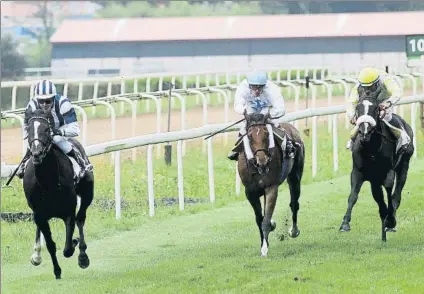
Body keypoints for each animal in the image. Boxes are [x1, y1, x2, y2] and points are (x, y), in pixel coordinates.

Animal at [22, 109, 94, 280]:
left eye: (47, 129)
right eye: (29, 129)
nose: (36, 153)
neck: (48, 184)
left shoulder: (68, 211)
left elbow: (67, 248)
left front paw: (75, 244)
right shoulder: (39, 215)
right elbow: (50, 244)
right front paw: (57, 271)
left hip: (87, 194)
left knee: (81, 218)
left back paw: (83, 255)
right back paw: (36, 255)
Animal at [237, 111, 304, 256]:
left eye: (267, 134)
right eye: (249, 136)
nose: (262, 161)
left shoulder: (271, 187)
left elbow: (266, 220)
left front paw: (264, 249)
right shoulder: (250, 192)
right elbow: (260, 218)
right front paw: (264, 243)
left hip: (295, 177)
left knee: (294, 203)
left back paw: (294, 230)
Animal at [340, 93, 416, 241]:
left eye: (375, 109)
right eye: (358, 108)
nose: (364, 131)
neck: (371, 150)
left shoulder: (388, 173)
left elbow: (389, 194)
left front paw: (390, 220)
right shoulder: (359, 173)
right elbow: (353, 196)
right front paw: (345, 223)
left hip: (404, 164)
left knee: (396, 194)